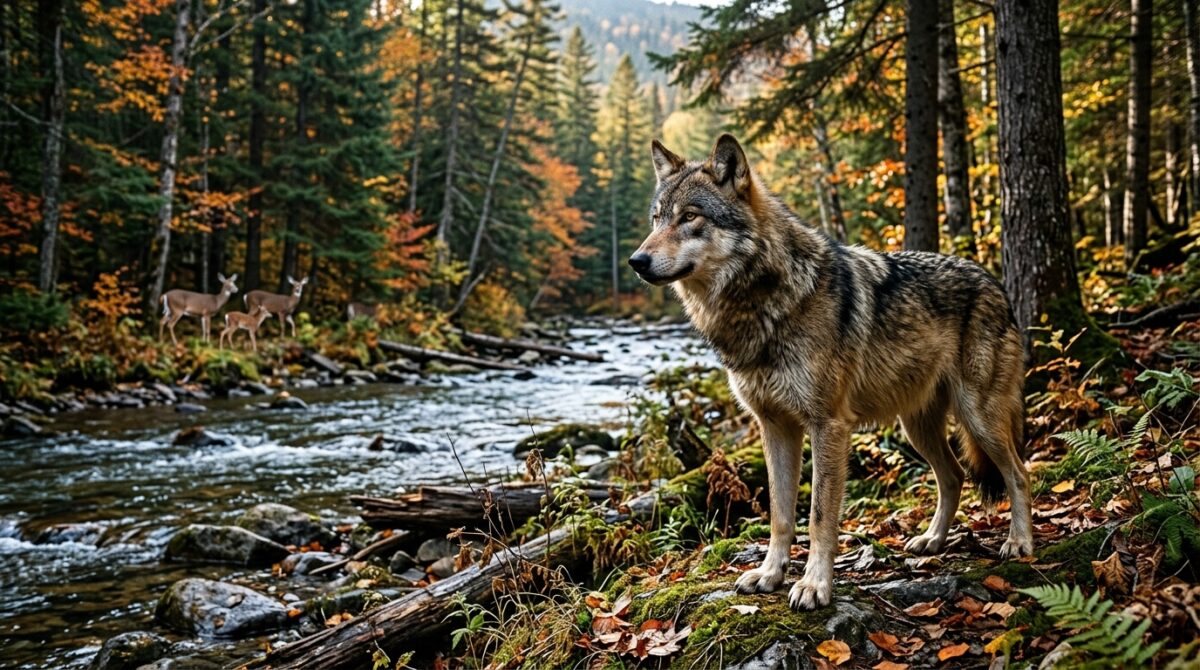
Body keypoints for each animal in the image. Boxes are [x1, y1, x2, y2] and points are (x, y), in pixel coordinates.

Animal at [629, 134, 1032, 611]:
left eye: (690, 217)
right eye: (657, 218)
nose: (636, 260)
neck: (763, 304)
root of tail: (994, 282)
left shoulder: (828, 426)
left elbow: (820, 515)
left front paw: (814, 585)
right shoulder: (774, 427)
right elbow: (781, 514)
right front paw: (770, 574)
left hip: (978, 417)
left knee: (1019, 472)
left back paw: (1019, 542)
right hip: (916, 427)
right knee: (954, 477)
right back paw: (932, 540)